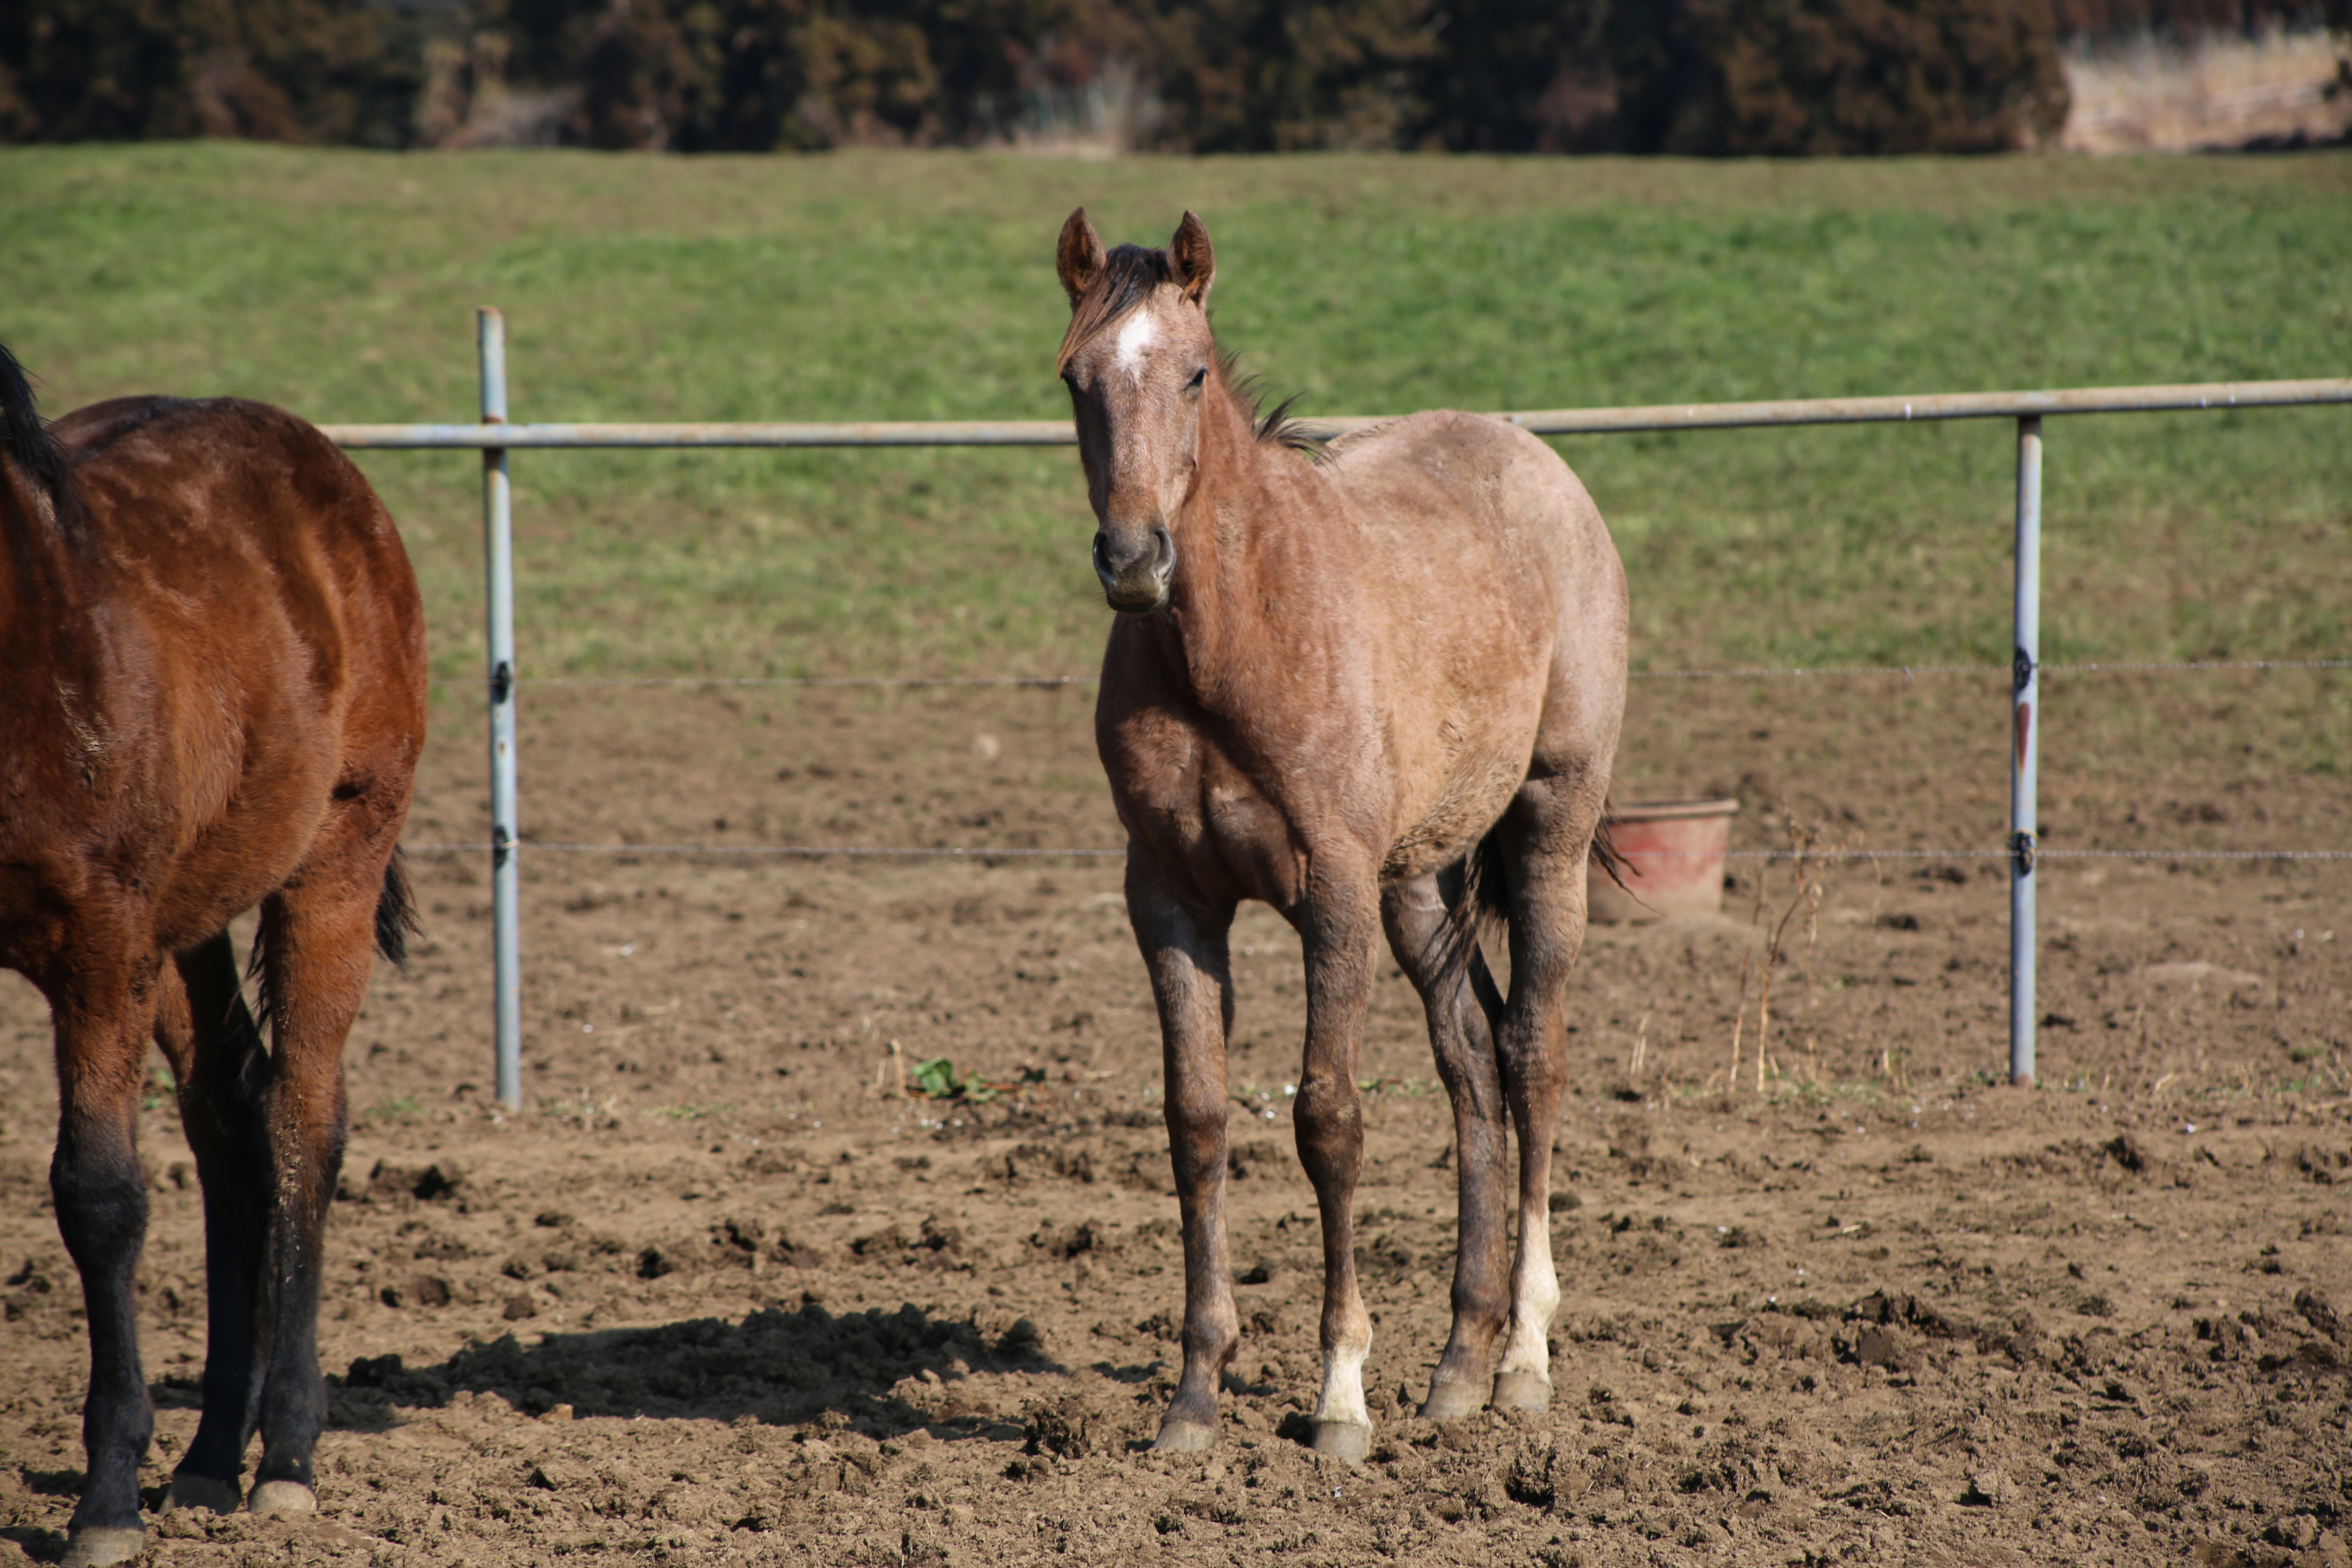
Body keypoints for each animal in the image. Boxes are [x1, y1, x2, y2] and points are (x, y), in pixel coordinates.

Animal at [0, 350, 428, 1561]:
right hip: (184, 925)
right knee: (231, 1117)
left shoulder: (99, 947)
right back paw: (204, 1460)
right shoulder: (128, 942)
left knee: (301, 1119)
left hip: (331, 861)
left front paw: (105, 1502)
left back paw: (283, 1457)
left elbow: (99, 1195)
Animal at [1058, 212, 1627, 1457]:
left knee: (1532, 1057)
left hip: (1548, 822)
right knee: (1470, 1058)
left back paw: (1521, 1357)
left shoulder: (1329, 890)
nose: (1133, 560)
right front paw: (1194, 1397)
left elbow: (1328, 1119)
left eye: (1192, 374)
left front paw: (1340, 1394)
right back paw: (1457, 1361)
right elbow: (1196, 1120)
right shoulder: (1168, 896)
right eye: (1074, 378)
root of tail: (1542, 466)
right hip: (1417, 882)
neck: (1234, 639)